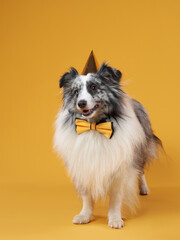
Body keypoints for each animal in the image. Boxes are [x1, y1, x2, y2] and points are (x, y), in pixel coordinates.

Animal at [52, 63, 161, 229]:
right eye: (75, 91)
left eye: (94, 87)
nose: (81, 103)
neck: (94, 127)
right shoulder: (83, 166)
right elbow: (86, 196)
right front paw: (85, 215)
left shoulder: (119, 169)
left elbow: (115, 198)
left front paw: (115, 219)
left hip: (139, 150)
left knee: (140, 171)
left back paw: (143, 189)